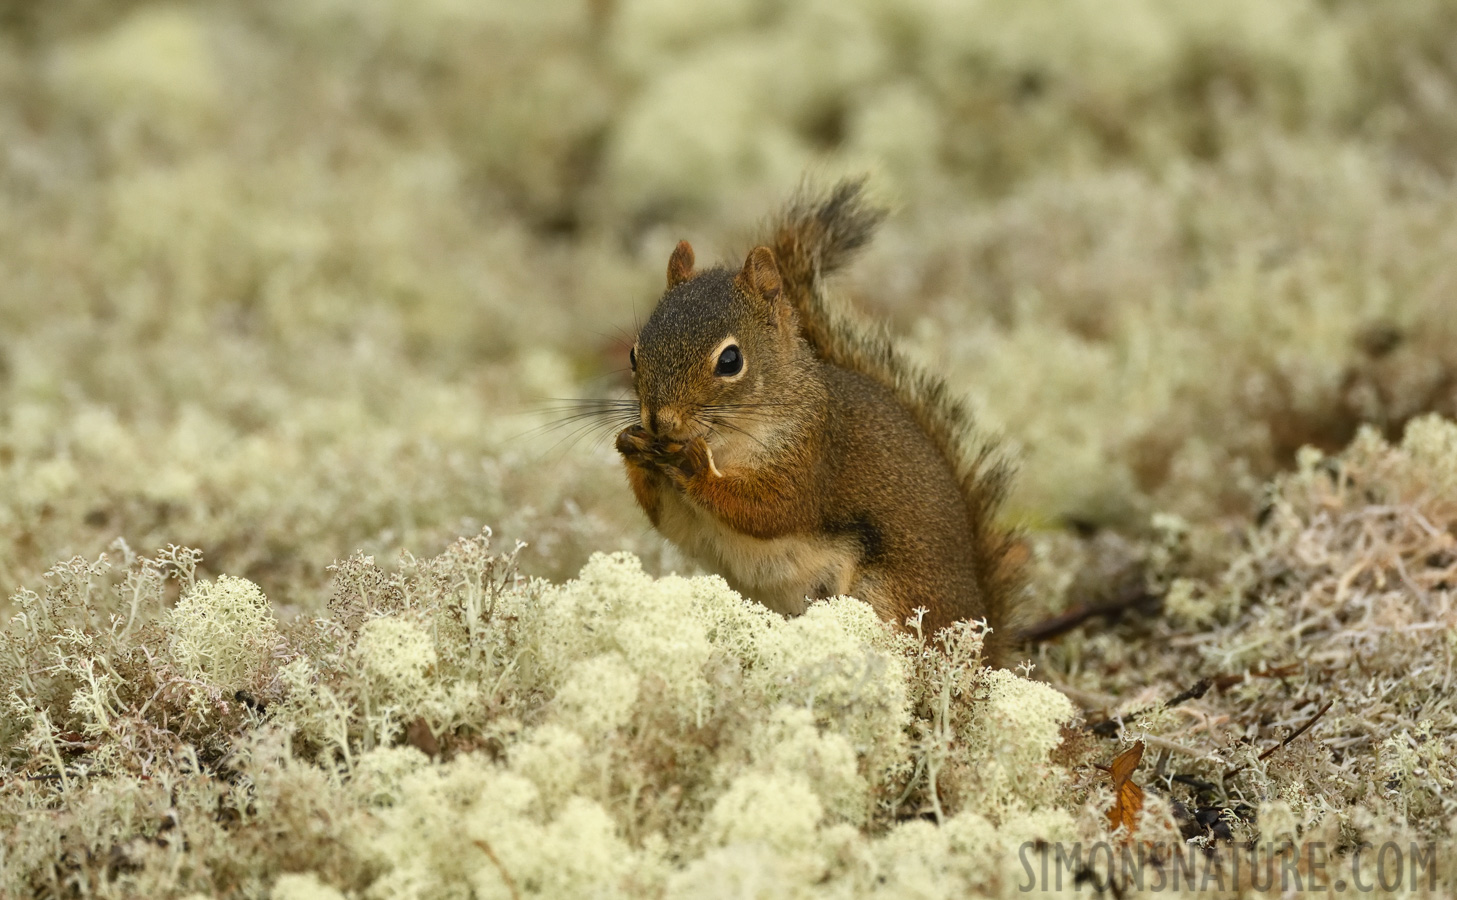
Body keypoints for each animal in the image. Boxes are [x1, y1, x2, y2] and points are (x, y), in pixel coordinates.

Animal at [620, 180, 1019, 658]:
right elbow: (668, 519)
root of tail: (980, 643)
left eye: (731, 360)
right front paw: (631, 446)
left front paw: (694, 469)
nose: (659, 420)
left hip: (886, 599)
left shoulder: (812, 454)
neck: (725, 444)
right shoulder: (687, 518)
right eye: (634, 353)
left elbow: (770, 509)